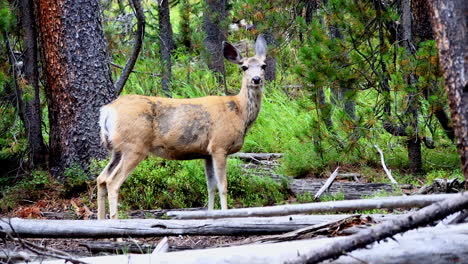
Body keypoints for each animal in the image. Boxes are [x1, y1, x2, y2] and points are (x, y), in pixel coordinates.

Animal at [96, 35, 266, 221]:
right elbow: (223, 186)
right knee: (112, 182)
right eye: (244, 67)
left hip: (117, 149)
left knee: (101, 178)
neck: (239, 112)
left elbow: (210, 187)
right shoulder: (219, 146)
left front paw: (210, 215)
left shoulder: (206, 153)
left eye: (263, 65)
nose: (256, 79)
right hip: (134, 146)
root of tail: (107, 111)